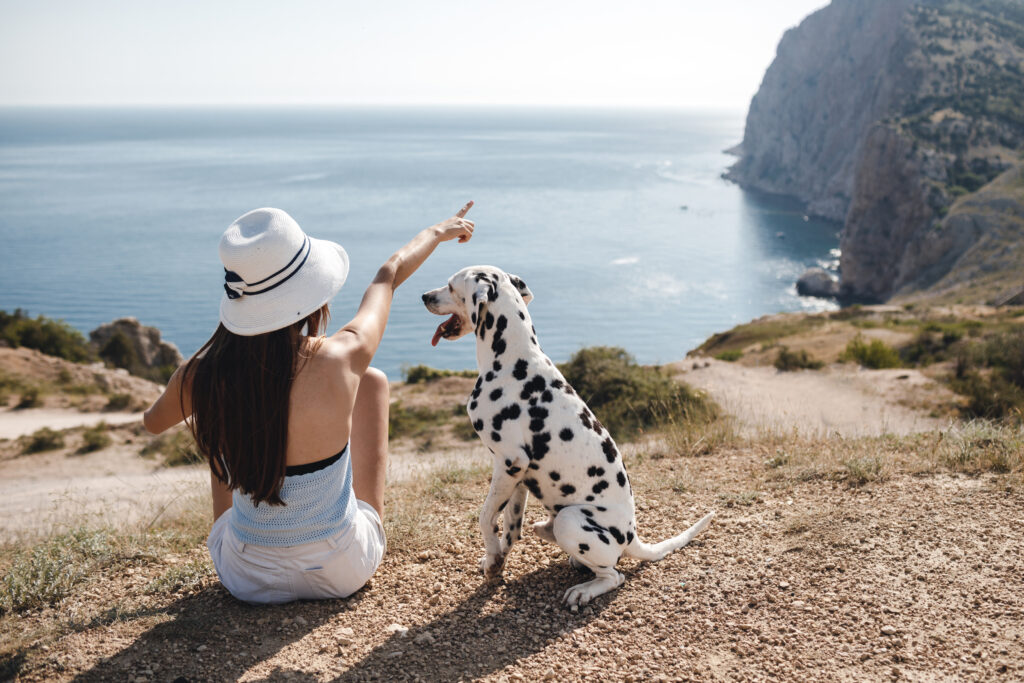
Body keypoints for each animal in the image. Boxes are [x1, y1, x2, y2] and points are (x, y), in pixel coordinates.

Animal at [419, 266, 716, 610]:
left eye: (452, 286)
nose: (424, 296)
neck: (514, 360)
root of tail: (632, 537)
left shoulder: (508, 463)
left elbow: (484, 518)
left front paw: (492, 558)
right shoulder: (518, 476)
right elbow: (510, 526)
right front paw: (497, 560)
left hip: (570, 520)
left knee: (614, 575)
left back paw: (584, 590)